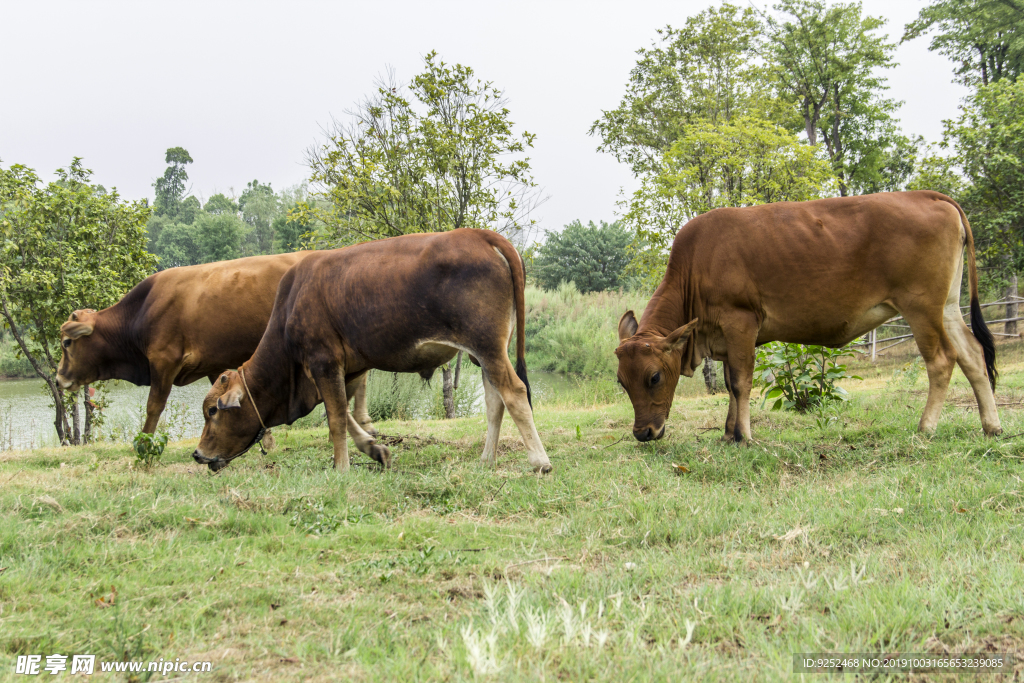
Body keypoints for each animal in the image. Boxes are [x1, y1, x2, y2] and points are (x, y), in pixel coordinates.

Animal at [56, 252, 376, 438]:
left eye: (66, 342)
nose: (59, 378)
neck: (140, 312)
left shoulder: (164, 360)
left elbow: (153, 406)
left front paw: (143, 444)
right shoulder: (213, 362)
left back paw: (364, 420)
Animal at [187, 229, 548, 475]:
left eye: (212, 411)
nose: (198, 454)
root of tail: (480, 234)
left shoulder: (323, 361)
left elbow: (335, 418)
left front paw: (341, 467)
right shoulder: (346, 368)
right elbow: (344, 413)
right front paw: (374, 450)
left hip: (487, 346)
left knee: (514, 392)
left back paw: (539, 460)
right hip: (484, 353)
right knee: (494, 402)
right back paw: (487, 459)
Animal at [614, 192, 999, 444]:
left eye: (653, 377)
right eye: (621, 381)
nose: (643, 433)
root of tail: (930, 197)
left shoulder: (741, 322)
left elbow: (740, 383)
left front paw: (744, 436)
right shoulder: (725, 335)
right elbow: (729, 383)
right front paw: (727, 434)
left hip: (921, 307)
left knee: (942, 360)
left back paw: (926, 428)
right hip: (948, 307)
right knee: (973, 355)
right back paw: (991, 426)